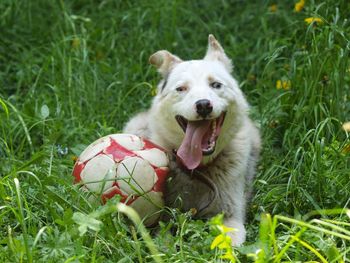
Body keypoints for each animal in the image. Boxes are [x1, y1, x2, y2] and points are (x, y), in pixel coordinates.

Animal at [124, 34, 262, 245]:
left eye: (216, 85)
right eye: (181, 88)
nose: (203, 105)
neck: (197, 170)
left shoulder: (231, 217)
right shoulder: (162, 220)